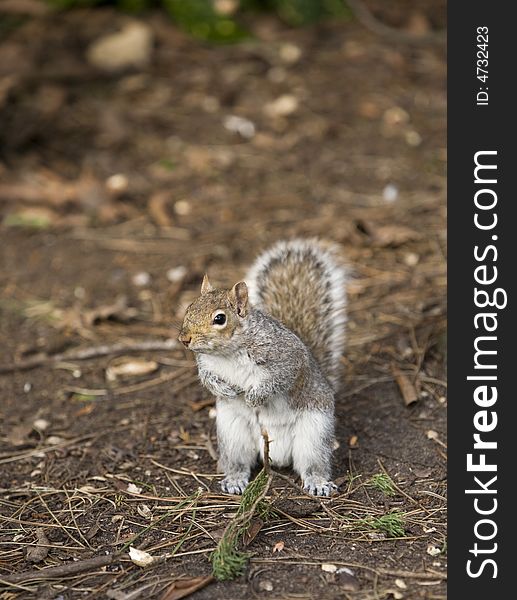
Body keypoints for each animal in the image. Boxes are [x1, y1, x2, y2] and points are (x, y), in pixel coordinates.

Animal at [177, 239, 346, 496]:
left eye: (219, 319)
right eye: (189, 308)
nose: (184, 339)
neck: (228, 353)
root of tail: (279, 454)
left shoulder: (286, 356)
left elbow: (280, 377)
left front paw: (255, 397)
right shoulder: (206, 365)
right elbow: (208, 379)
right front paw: (226, 391)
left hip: (314, 433)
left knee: (312, 463)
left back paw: (317, 483)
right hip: (233, 434)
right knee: (238, 462)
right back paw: (234, 480)